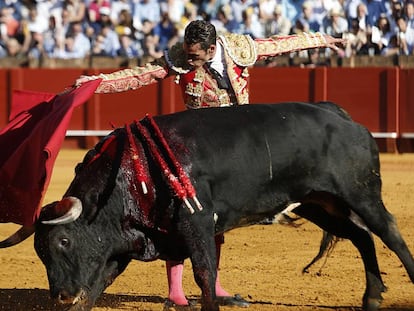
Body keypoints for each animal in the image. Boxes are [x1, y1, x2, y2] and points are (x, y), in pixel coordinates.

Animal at [0, 103, 414, 311]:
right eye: (39, 253)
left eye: (63, 242)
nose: (60, 295)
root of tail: (344, 118)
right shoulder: (125, 241)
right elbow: (97, 284)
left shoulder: (196, 220)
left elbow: (204, 272)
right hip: (319, 203)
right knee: (361, 237)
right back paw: (371, 297)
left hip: (360, 193)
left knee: (389, 232)